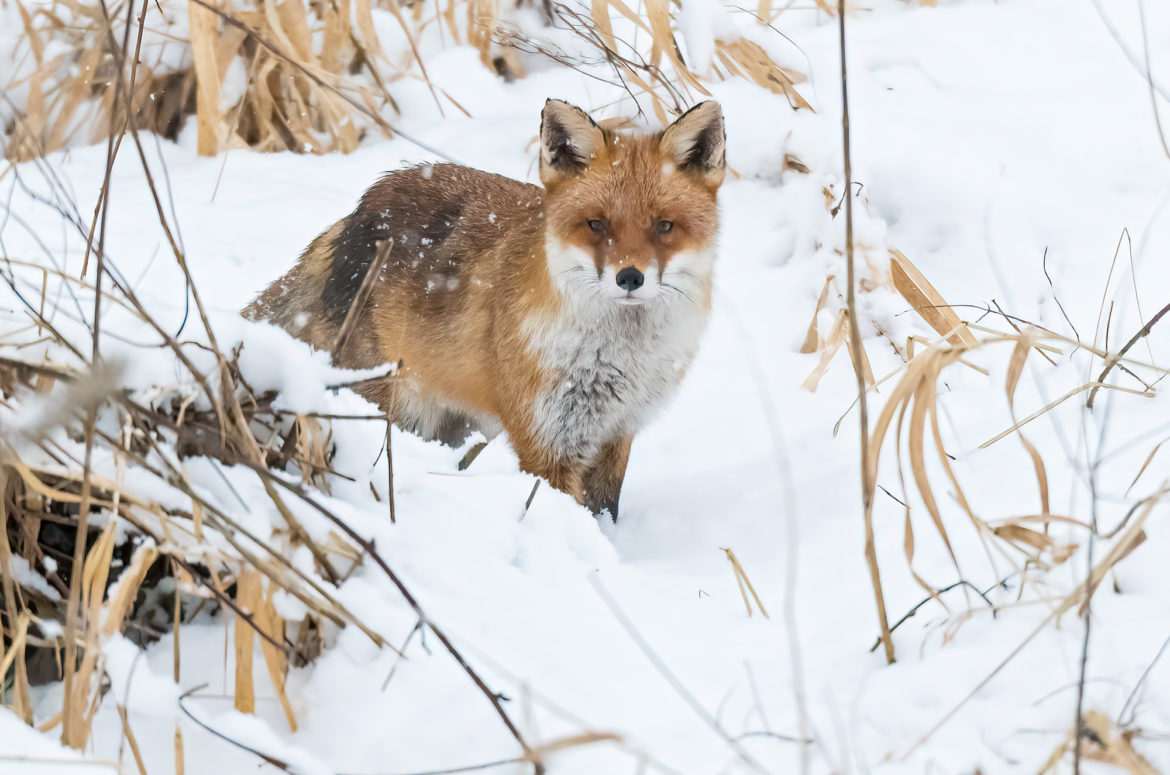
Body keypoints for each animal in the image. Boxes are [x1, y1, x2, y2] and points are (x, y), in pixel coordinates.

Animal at [243, 99, 726, 520]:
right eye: (596, 224)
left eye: (664, 226)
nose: (630, 277)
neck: (619, 360)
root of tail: (355, 214)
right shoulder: (545, 440)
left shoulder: (617, 431)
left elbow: (606, 513)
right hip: (389, 408)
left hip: (450, 425)